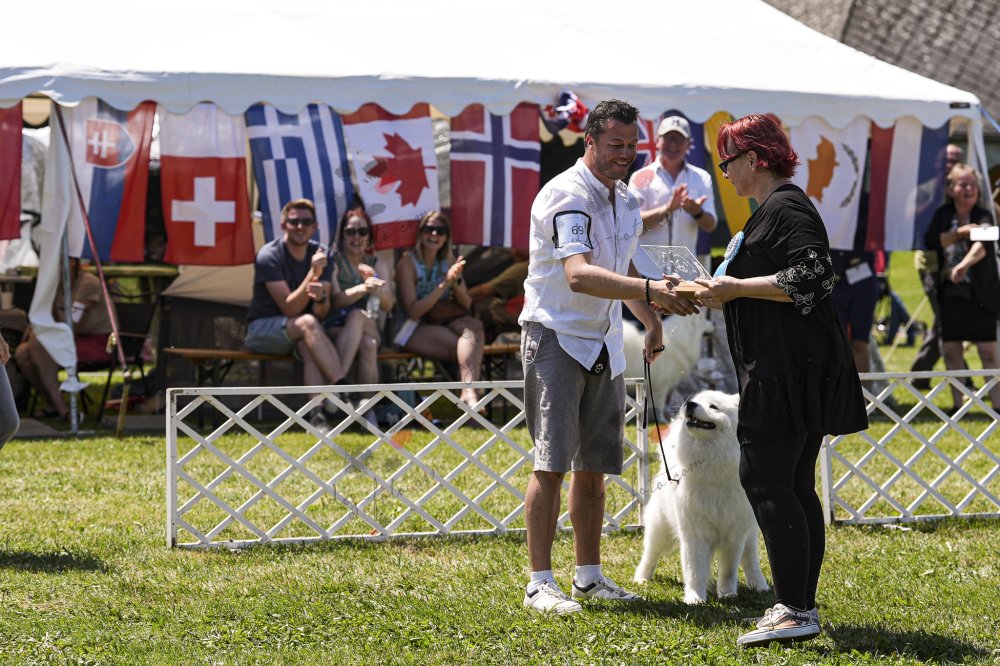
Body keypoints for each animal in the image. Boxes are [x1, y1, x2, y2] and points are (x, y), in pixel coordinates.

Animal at [633, 390, 770, 604]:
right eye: (695, 400)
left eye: (714, 406)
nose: (689, 404)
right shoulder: (694, 533)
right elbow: (694, 569)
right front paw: (695, 598)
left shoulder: (734, 534)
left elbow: (729, 569)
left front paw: (727, 593)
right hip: (660, 528)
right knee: (650, 553)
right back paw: (642, 578)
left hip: (749, 533)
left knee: (750, 559)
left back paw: (759, 585)